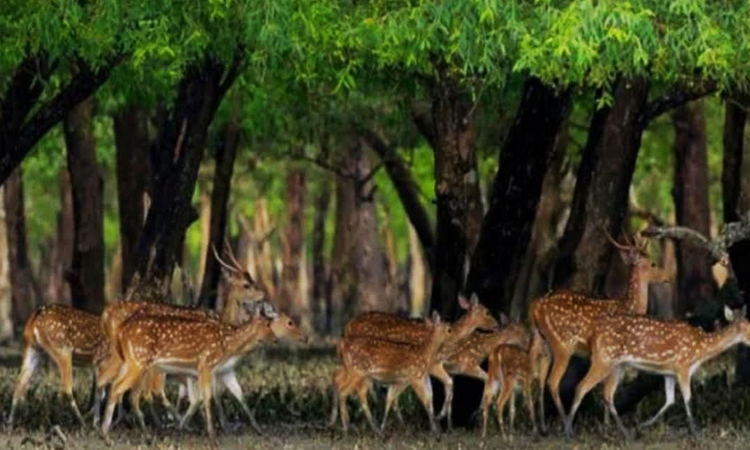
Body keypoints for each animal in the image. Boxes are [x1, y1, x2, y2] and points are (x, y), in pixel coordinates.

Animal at [100, 301, 307, 440]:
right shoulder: (206, 364)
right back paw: (107, 430)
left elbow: (238, 396)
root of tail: (119, 328)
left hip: (134, 362)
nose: (304, 337)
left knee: (124, 389)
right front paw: (212, 432)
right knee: (121, 387)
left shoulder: (223, 370)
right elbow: (208, 396)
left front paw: (258, 429)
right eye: (289, 322)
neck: (229, 345)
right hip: (140, 362)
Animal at [341, 294, 501, 429]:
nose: (497, 324)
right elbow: (443, 387)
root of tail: (348, 326)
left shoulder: (430, 369)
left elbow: (438, 391)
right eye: (487, 312)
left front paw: (445, 425)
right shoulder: (432, 366)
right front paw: (439, 419)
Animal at [528, 231, 671, 430]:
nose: (668, 277)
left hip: (540, 341)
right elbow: (606, 389)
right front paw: (608, 425)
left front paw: (606, 424)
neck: (628, 305)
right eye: (653, 264)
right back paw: (565, 424)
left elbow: (604, 389)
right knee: (552, 382)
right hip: (563, 344)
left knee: (536, 380)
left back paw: (540, 427)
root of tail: (536, 306)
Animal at [564, 306, 750, 438]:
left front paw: (643, 425)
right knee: (581, 387)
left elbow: (670, 400)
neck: (700, 349)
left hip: (617, 365)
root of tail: (593, 335)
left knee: (607, 393)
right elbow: (688, 399)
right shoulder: (682, 366)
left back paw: (625, 433)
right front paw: (696, 434)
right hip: (603, 359)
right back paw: (568, 432)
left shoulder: (669, 372)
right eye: (744, 326)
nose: (749, 341)